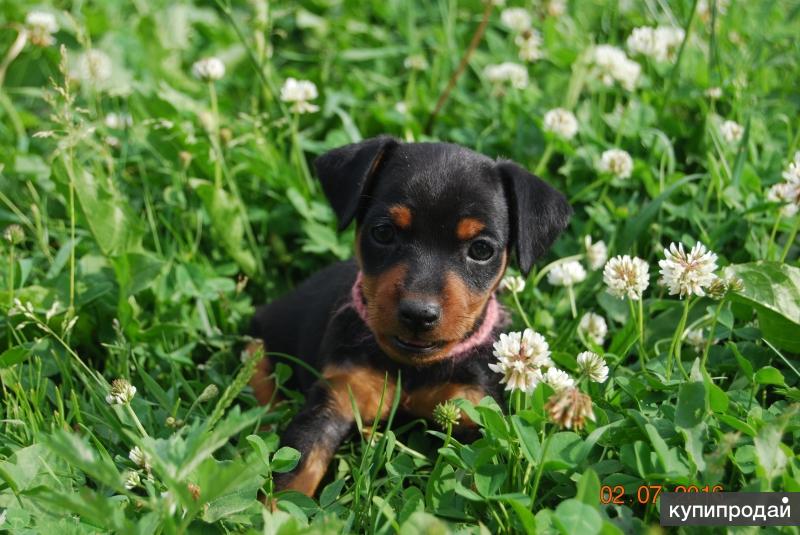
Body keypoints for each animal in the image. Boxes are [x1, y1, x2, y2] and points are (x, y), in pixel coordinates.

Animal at [248, 136, 568, 496]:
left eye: (481, 250)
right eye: (383, 232)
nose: (419, 314)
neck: (415, 368)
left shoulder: (475, 410)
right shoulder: (337, 396)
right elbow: (296, 470)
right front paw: (274, 508)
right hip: (262, 338)